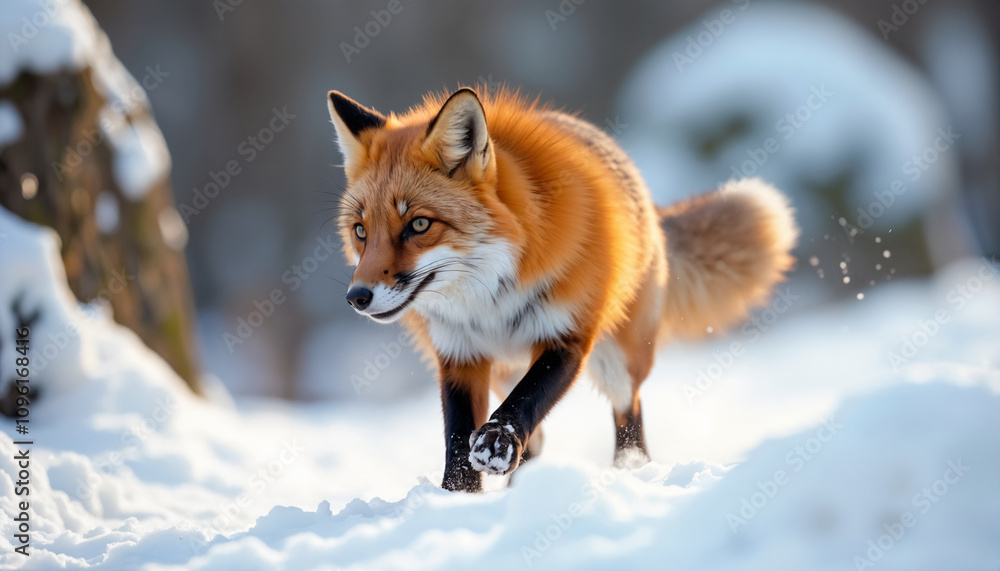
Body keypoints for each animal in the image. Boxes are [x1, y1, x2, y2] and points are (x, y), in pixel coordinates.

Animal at [326, 86, 798, 492]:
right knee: (538, 442)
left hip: (620, 359)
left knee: (629, 416)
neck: (490, 301)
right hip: (504, 370)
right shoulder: (460, 354)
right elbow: (458, 439)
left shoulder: (567, 336)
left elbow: (525, 403)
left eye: (419, 224)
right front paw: (456, 497)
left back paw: (628, 471)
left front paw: (497, 441)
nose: (357, 297)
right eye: (361, 231)